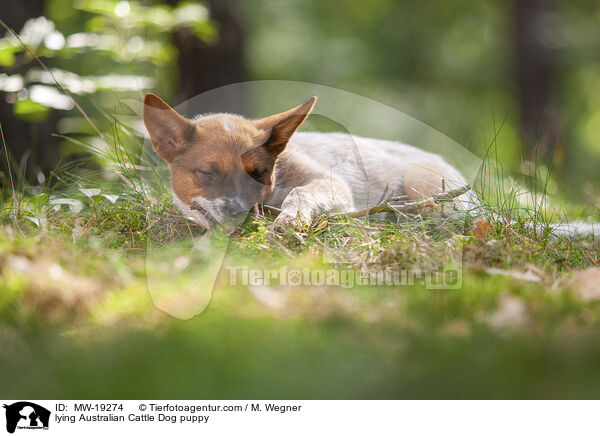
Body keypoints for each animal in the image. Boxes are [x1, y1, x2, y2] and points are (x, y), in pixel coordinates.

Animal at [142, 94, 478, 230]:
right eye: (208, 173)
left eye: (259, 173)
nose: (241, 214)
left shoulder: (333, 184)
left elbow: (300, 192)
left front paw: (291, 218)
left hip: (424, 185)